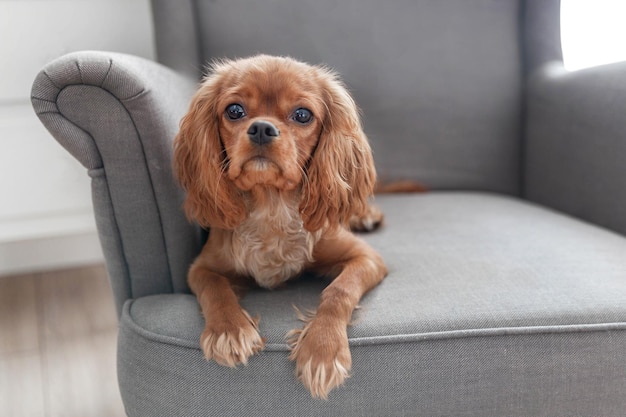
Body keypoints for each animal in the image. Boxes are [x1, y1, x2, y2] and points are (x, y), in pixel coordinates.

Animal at [172, 54, 386, 396]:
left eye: (302, 115)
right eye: (234, 110)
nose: (262, 128)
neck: (271, 205)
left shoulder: (367, 258)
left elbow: (339, 291)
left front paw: (322, 350)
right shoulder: (201, 267)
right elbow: (214, 288)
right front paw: (229, 330)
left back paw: (365, 215)